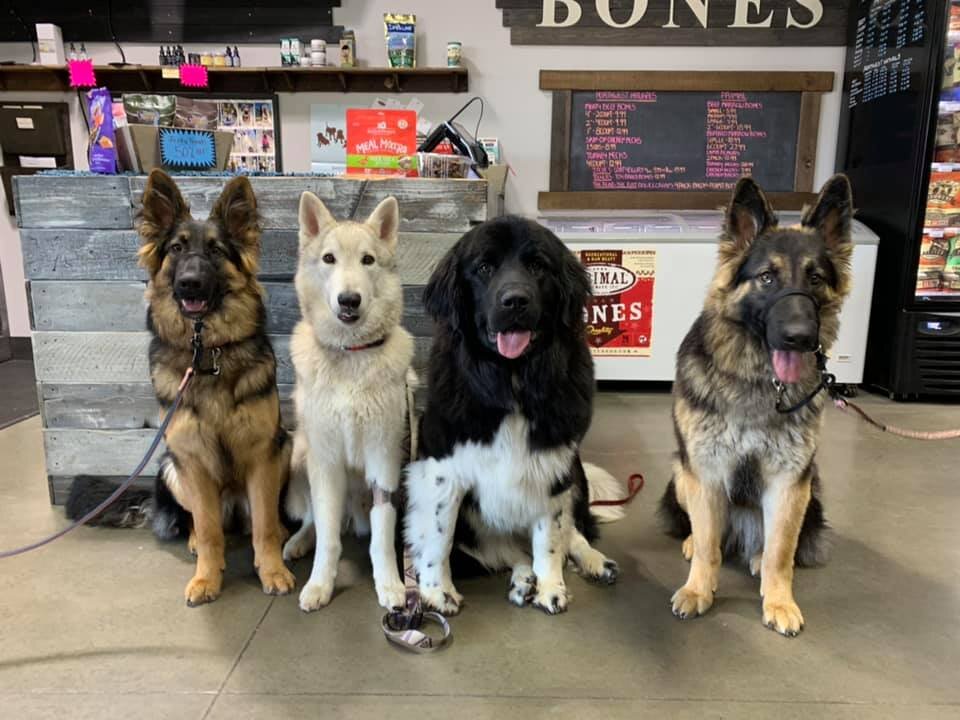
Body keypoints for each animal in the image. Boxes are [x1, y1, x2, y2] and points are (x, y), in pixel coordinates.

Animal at [404, 214, 624, 612]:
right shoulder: (444, 470)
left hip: (576, 473)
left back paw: (593, 562)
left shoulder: (554, 466)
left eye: (538, 266)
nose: (515, 301)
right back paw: (523, 580)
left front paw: (552, 587)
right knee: (507, 551)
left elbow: (550, 538)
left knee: (571, 533)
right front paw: (437, 590)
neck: (512, 381)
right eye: (484, 268)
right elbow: (440, 537)